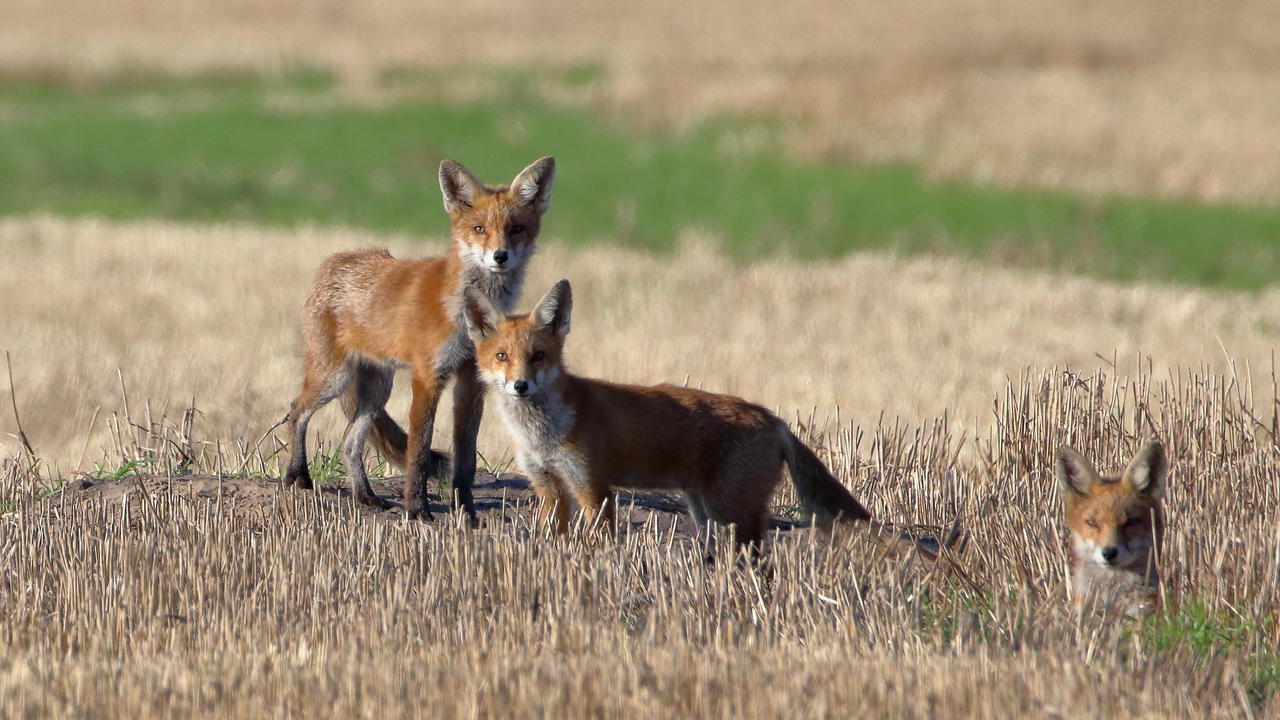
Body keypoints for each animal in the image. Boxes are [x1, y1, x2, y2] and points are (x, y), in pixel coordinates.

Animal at [285, 155, 555, 520]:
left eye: (517, 229)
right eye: (479, 229)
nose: (500, 256)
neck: (465, 312)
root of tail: (334, 261)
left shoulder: (471, 382)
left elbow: (466, 459)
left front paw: (466, 512)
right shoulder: (427, 377)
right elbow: (419, 452)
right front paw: (416, 510)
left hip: (376, 390)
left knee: (351, 441)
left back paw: (364, 495)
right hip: (333, 378)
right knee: (297, 411)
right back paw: (297, 475)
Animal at [463, 278, 880, 545]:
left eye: (538, 356)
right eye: (502, 357)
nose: (520, 386)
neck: (542, 434)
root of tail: (773, 419)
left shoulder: (593, 487)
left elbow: (600, 545)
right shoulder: (548, 486)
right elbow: (554, 542)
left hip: (733, 512)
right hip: (708, 514)